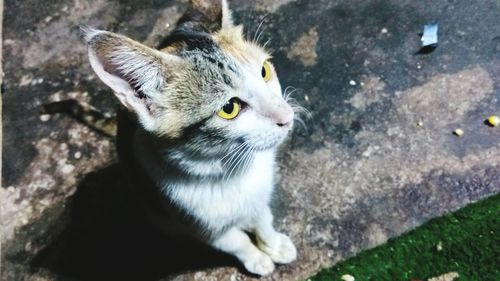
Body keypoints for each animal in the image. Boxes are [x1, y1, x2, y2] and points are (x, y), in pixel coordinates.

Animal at [82, 0, 298, 274]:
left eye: (264, 71)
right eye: (229, 108)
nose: (287, 116)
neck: (227, 169)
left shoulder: (259, 196)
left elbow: (262, 219)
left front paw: (273, 244)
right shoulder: (197, 225)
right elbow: (236, 242)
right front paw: (257, 259)